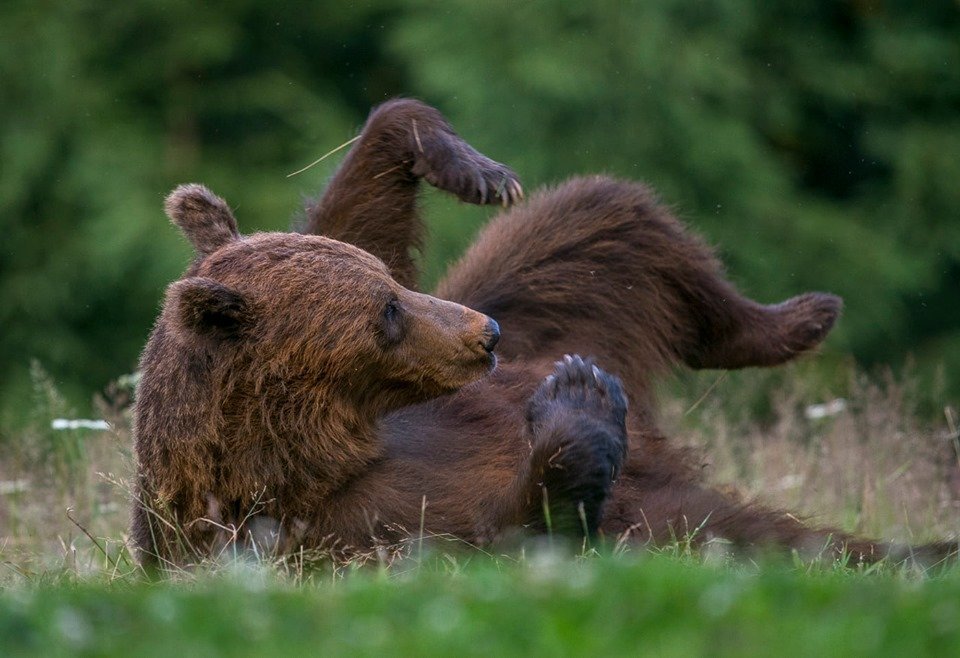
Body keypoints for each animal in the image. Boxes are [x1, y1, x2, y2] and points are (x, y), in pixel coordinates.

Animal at [131, 97, 956, 564]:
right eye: (386, 314)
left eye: (393, 287)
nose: (486, 335)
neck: (327, 450)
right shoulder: (333, 530)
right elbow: (505, 532)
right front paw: (580, 403)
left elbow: (354, 209)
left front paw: (470, 166)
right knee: (776, 539)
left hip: (555, 301)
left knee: (605, 210)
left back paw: (804, 314)